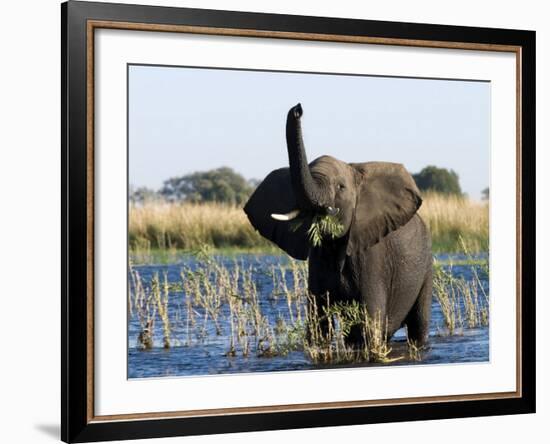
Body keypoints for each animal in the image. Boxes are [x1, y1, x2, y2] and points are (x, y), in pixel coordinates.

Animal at [244, 104, 434, 346]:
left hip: (426, 266)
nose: (298, 109)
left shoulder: (373, 257)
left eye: (341, 187)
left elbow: (369, 326)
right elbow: (318, 327)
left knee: (418, 324)